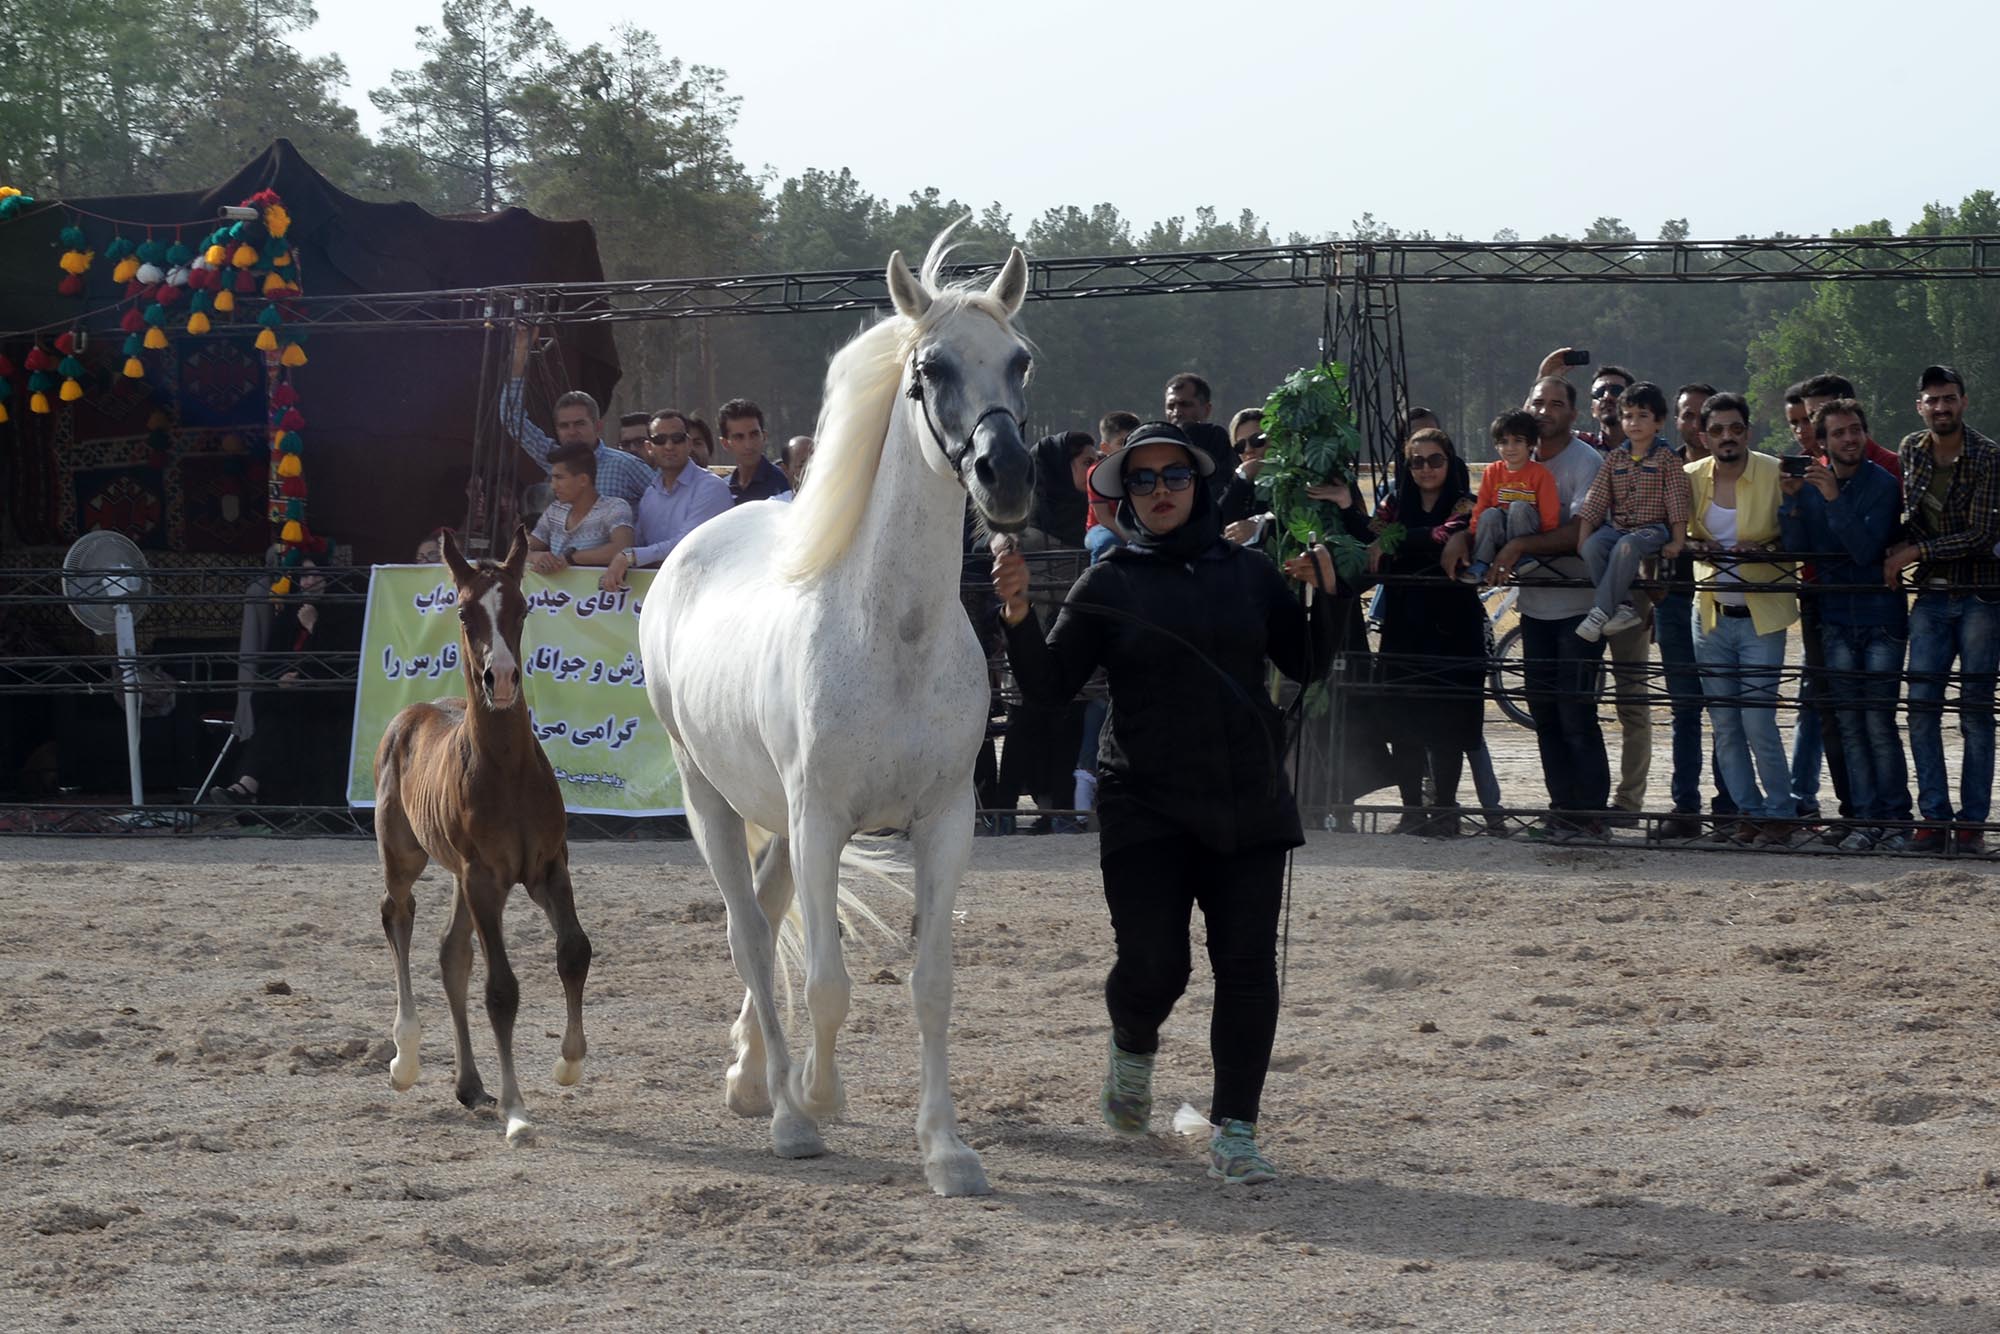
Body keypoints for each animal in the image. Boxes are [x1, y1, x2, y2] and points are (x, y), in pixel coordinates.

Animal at [376, 528, 588, 1144]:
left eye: (522, 606)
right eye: (465, 611)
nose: (504, 678)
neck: (507, 771)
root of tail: (413, 714)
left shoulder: (548, 867)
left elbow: (574, 952)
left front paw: (568, 1063)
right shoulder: (486, 879)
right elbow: (501, 990)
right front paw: (517, 1112)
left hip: (460, 877)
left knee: (452, 954)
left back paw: (470, 1086)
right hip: (405, 856)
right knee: (397, 915)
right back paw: (405, 1059)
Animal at [640, 235, 1040, 1192]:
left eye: (1019, 361)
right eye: (931, 368)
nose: (1006, 476)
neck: (891, 636)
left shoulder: (946, 821)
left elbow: (931, 984)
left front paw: (948, 1151)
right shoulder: (821, 819)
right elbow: (827, 982)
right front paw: (819, 1103)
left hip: (779, 819)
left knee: (766, 913)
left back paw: (752, 1077)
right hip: (711, 800)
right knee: (750, 933)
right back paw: (783, 1109)